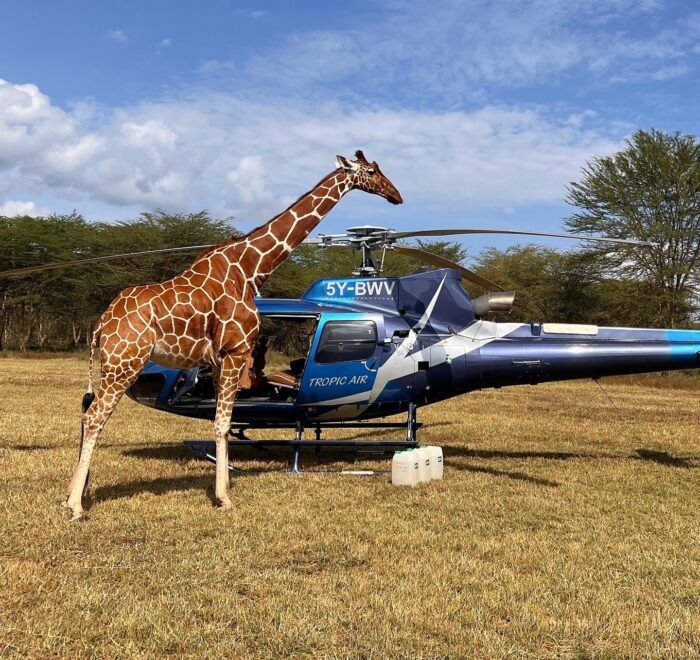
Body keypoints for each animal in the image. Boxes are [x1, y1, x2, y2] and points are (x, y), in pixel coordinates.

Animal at [64, 151, 403, 520]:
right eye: (371, 171)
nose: (396, 196)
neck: (250, 269)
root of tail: (101, 324)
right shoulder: (236, 351)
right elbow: (223, 425)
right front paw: (224, 497)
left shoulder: (217, 360)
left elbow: (221, 424)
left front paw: (223, 489)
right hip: (125, 363)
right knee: (94, 417)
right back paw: (76, 505)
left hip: (114, 366)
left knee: (86, 415)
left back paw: (75, 494)